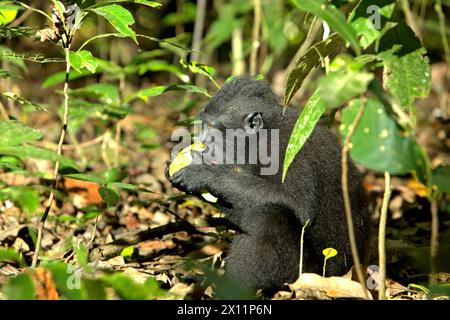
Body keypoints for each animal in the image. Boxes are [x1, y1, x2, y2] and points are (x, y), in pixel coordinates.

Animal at [168, 77, 370, 290]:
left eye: (212, 129)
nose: (202, 142)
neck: (261, 136)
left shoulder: (286, 150)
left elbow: (299, 208)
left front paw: (203, 172)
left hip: (310, 273)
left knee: (267, 216)